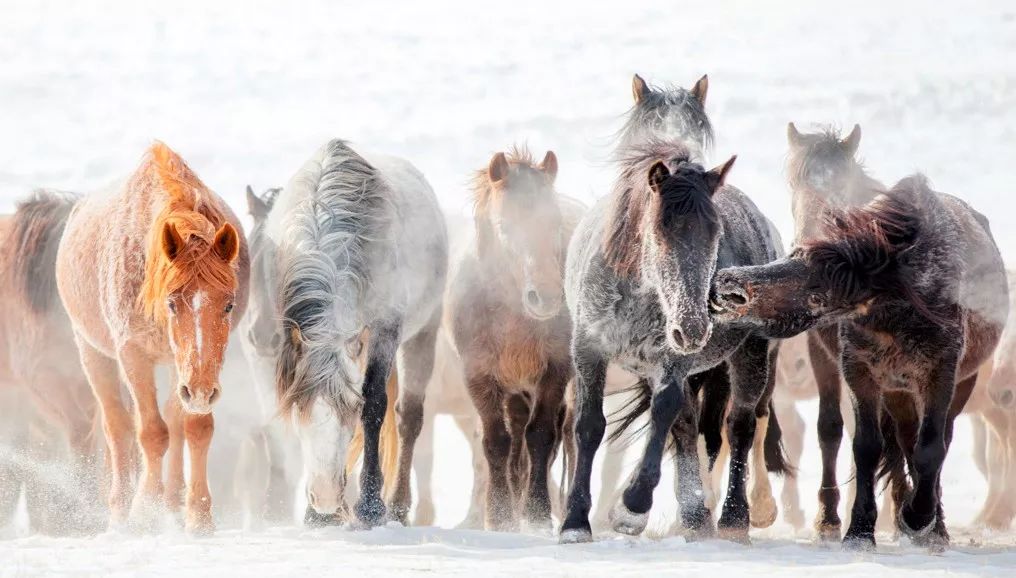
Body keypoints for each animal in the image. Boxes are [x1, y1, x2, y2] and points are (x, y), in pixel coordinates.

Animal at [56, 143, 249, 532]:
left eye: (229, 304)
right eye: (172, 302)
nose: (202, 391)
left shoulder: (191, 372)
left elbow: (194, 428)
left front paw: (199, 517)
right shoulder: (133, 354)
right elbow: (151, 433)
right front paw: (144, 509)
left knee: (173, 423)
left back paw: (171, 503)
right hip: (93, 352)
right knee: (118, 427)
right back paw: (120, 511)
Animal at [272, 140, 447, 528]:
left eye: (351, 410)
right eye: (299, 409)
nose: (323, 499)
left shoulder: (384, 332)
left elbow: (376, 406)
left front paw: (370, 506)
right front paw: (317, 515)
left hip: (422, 334)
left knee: (408, 417)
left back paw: (397, 505)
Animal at [451, 145, 585, 532]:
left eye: (553, 223)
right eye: (505, 226)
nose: (547, 297)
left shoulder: (555, 371)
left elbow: (540, 437)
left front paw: (537, 514)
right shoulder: (479, 375)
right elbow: (497, 442)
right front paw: (500, 517)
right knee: (513, 446)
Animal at [715, 176, 1007, 548]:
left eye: (817, 292)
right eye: (794, 256)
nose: (729, 283)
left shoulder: (941, 372)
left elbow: (931, 448)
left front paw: (920, 517)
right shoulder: (862, 371)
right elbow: (867, 446)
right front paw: (860, 528)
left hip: (960, 383)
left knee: (937, 440)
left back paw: (934, 524)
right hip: (896, 391)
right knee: (902, 440)